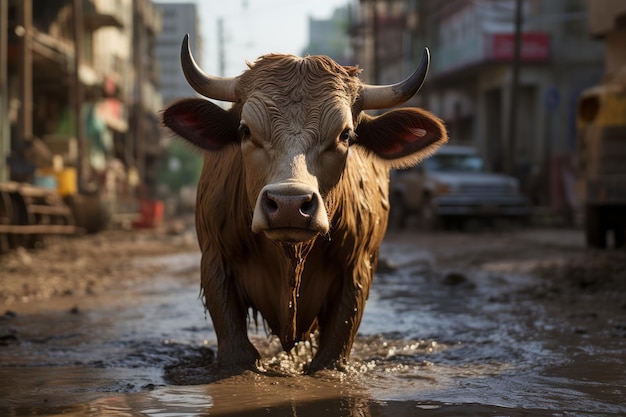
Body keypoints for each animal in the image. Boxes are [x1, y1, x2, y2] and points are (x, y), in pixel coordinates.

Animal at [161, 35, 444, 372]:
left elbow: (332, 350)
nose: (288, 204)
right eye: (245, 130)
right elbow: (237, 351)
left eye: (345, 134)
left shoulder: (356, 272)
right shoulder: (215, 262)